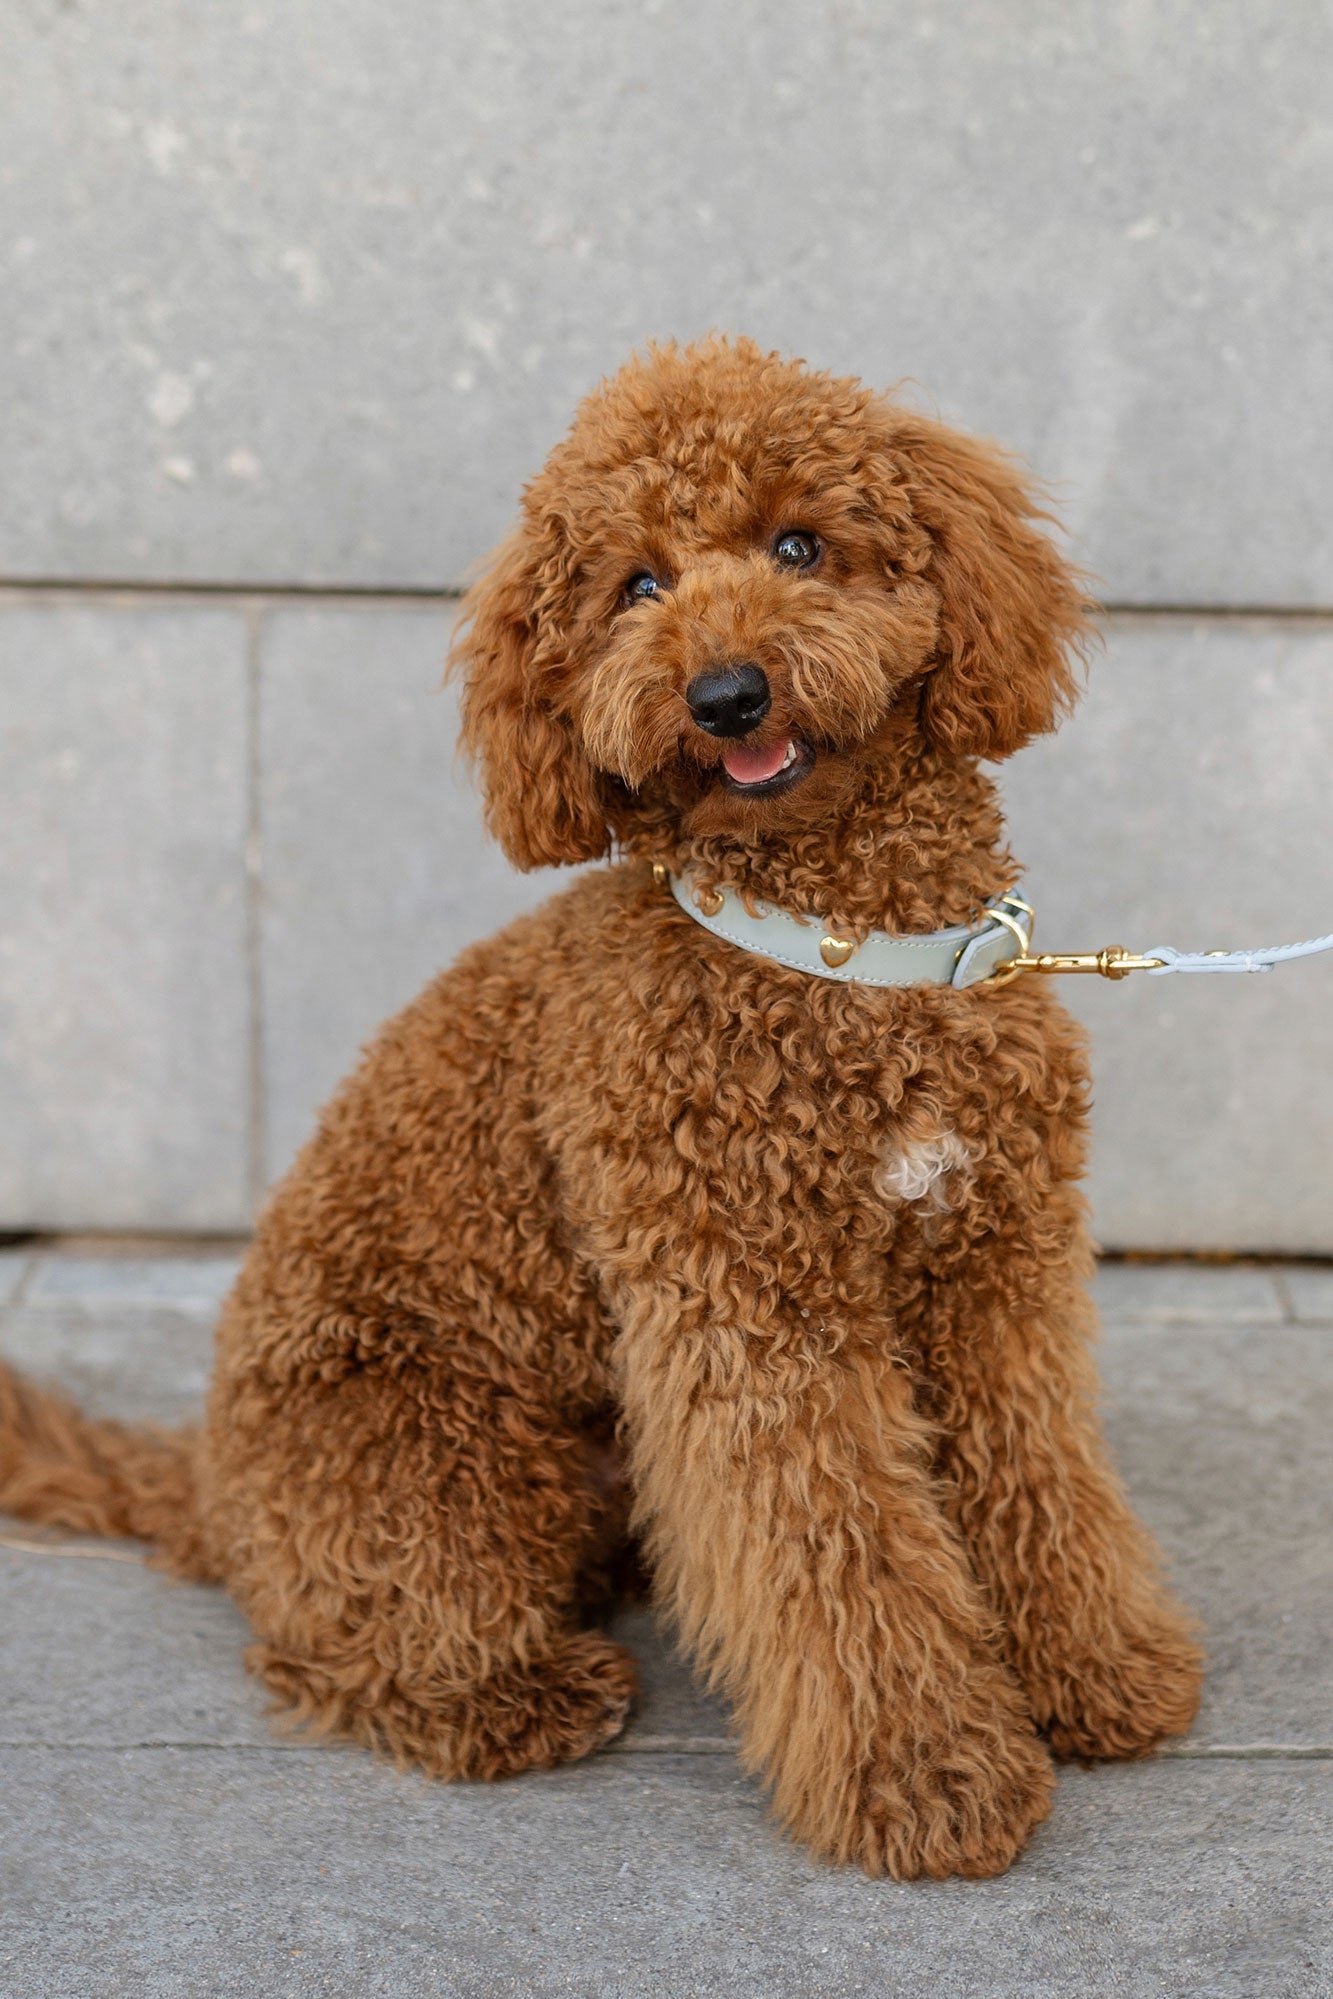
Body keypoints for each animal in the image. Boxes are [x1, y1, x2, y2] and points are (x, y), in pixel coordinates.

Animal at [0, 335, 1207, 1879]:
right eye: (634, 586)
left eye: (799, 544)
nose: (727, 693)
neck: (839, 956)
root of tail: (205, 1481)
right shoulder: (748, 1304)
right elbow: (837, 1545)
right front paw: (927, 1774)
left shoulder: (997, 1269)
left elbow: (1040, 1473)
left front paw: (1097, 1672)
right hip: (428, 1466)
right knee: (340, 1640)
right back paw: (514, 1693)